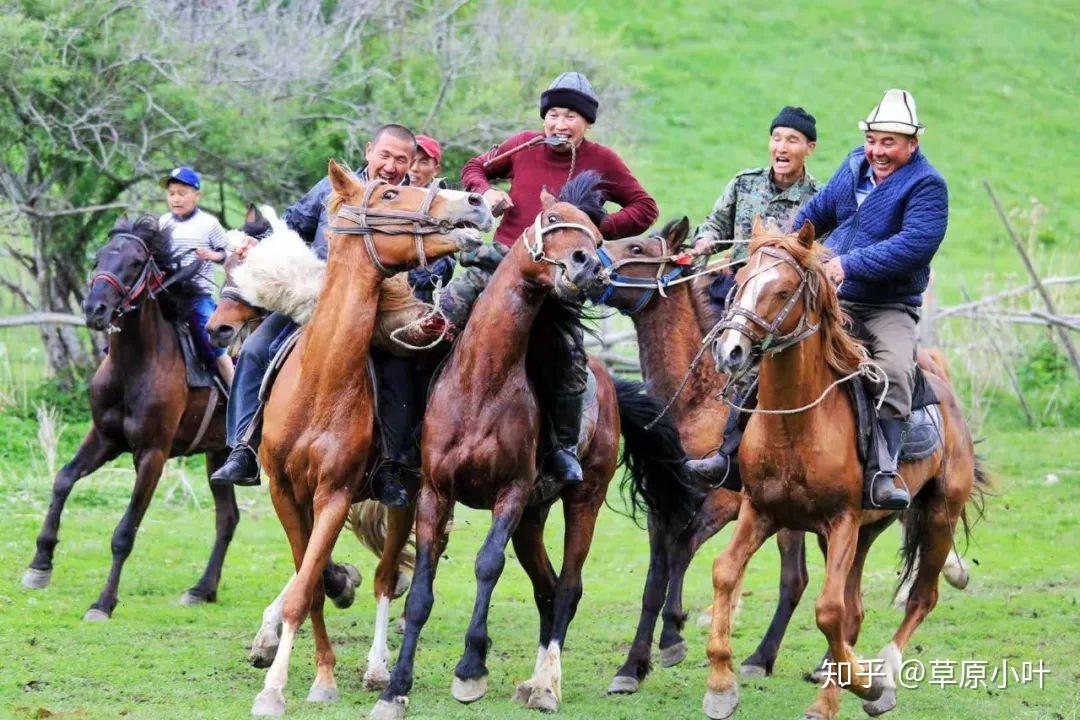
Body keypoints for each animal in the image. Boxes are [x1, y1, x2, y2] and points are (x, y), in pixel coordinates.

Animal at [21, 213, 238, 621]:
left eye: (136, 263)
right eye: (99, 257)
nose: (94, 309)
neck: (135, 365)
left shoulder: (152, 454)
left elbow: (124, 532)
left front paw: (103, 602)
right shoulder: (104, 438)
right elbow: (63, 480)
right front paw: (40, 563)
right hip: (219, 457)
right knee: (228, 518)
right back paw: (202, 589)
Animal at [248, 157, 490, 716]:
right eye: (388, 194)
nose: (475, 203)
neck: (320, 383)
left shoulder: (335, 493)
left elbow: (308, 586)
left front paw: (280, 687)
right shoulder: (285, 493)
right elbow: (310, 582)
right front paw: (316, 675)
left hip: (407, 497)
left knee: (384, 574)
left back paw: (380, 668)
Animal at [367, 175, 699, 720]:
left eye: (596, 233)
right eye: (551, 220)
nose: (585, 264)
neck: (481, 382)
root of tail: (610, 385)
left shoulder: (512, 493)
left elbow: (487, 565)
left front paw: (471, 670)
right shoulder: (436, 493)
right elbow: (419, 593)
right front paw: (395, 687)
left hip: (580, 501)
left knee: (567, 587)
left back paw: (546, 683)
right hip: (532, 520)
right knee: (547, 587)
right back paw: (534, 677)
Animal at [699, 220, 989, 720]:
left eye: (782, 291)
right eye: (740, 282)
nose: (730, 350)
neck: (797, 424)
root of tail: (946, 392)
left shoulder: (842, 522)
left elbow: (829, 611)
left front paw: (861, 686)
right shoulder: (761, 511)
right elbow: (725, 573)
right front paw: (721, 686)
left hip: (937, 516)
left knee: (921, 597)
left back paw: (883, 677)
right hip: (866, 532)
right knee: (856, 609)